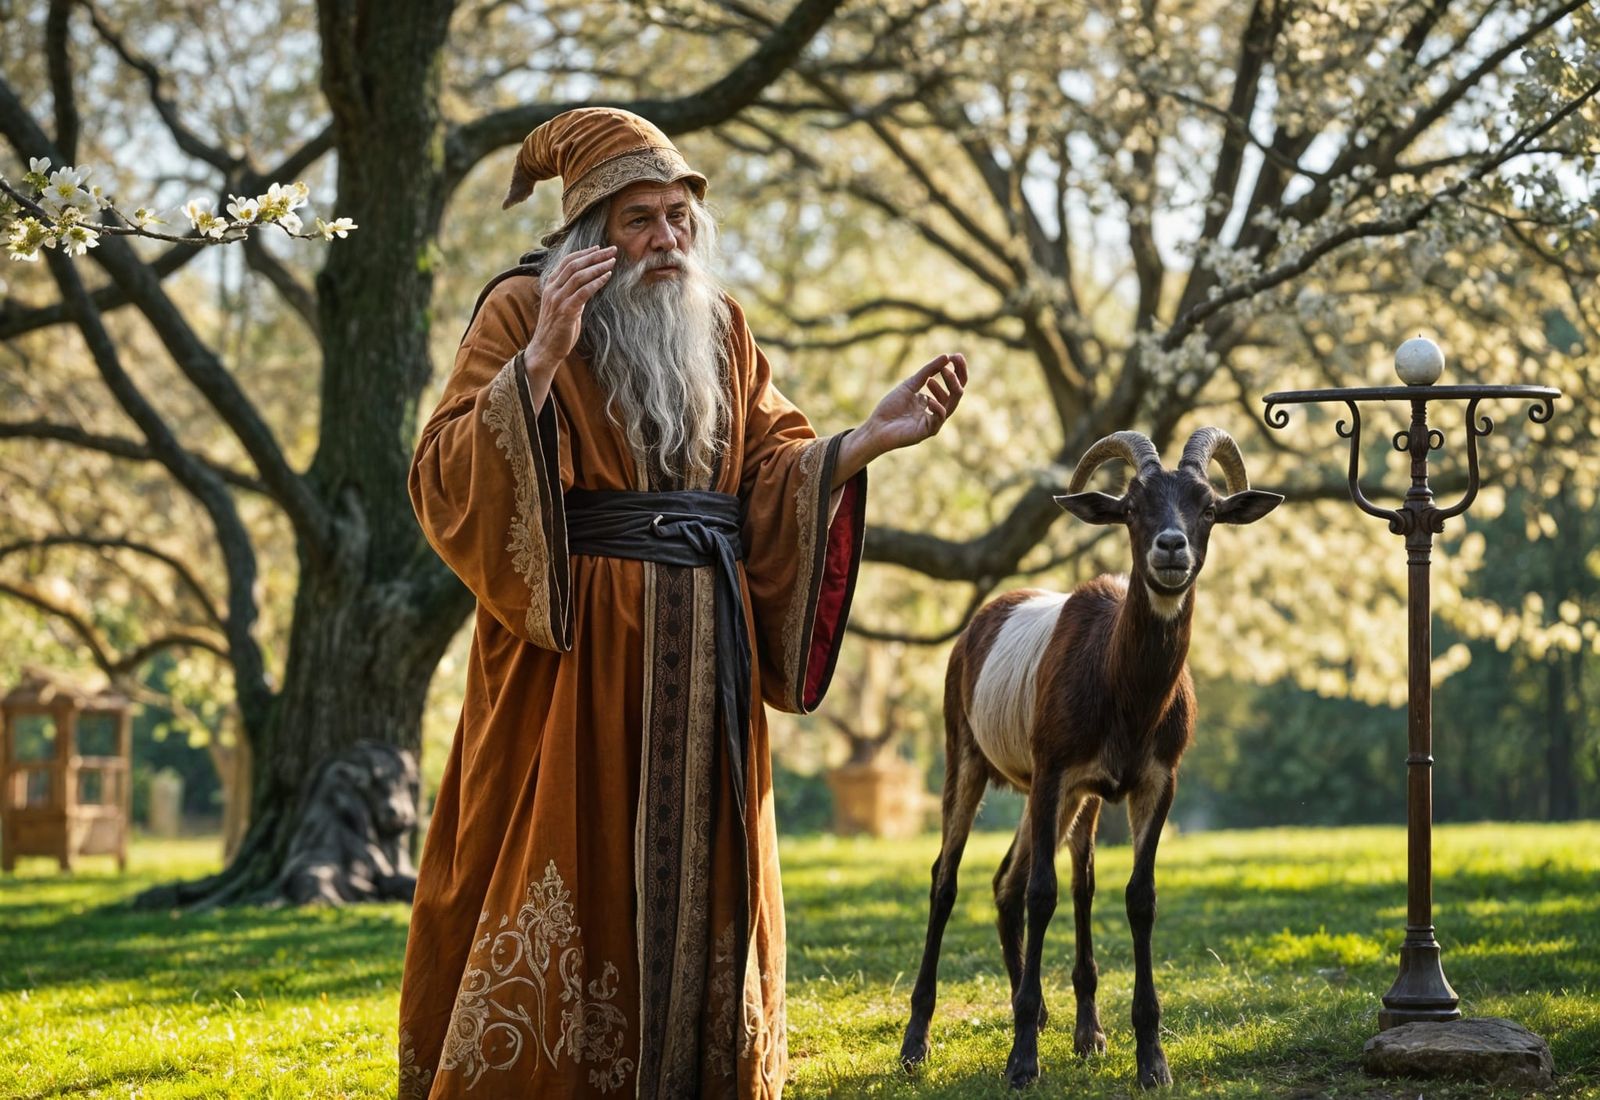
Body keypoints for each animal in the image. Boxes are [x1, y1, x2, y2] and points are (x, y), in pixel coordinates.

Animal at [898, 427, 1282, 1090]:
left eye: (1208, 507)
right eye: (1131, 507)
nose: (1171, 547)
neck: (1119, 684)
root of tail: (978, 623)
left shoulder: (1152, 781)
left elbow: (1133, 896)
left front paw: (1148, 1059)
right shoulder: (1054, 772)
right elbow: (1043, 894)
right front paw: (1022, 1062)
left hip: (1074, 799)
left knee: (1022, 880)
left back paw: (1074, 1027)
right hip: (967, 757)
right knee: (949, 878)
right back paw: (917, 1041)